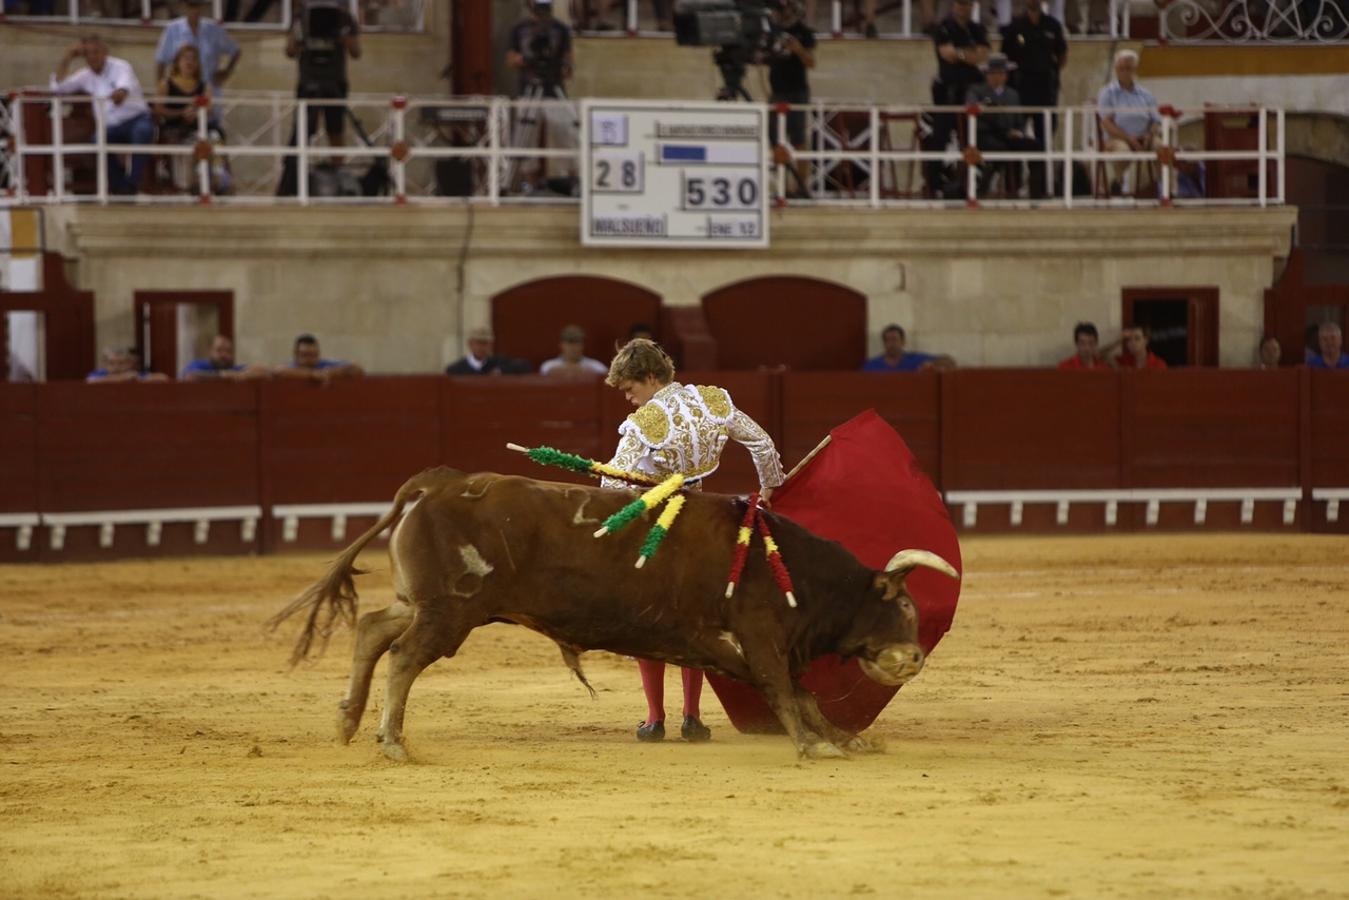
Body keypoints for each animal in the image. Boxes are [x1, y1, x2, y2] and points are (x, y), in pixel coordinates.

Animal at [268, 469, 955, 766]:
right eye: (901, 604)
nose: (915, 658)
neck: (791, 569)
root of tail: (437, 484)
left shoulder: (748, 644)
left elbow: (804, 694)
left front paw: (848, 738)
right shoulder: (760, 638)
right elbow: (789, 694)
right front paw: (817, 746)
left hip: (427, 602)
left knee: (373, 629)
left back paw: (347, 722)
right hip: (451, 612)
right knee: (405, 655)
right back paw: (390, 741)